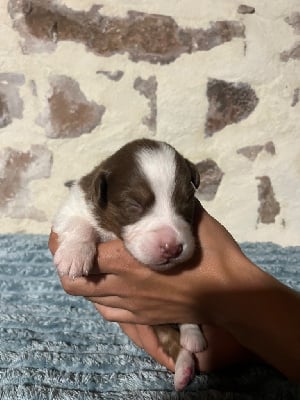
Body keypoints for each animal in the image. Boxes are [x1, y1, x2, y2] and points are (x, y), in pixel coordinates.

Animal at [53, 138, 206, 390]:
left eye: (186, 201)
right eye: (133, 204)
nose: (172, 247)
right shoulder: (76, 204)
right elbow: (80, 224)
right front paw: (74, 254)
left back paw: (192, 339)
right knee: (169, 338)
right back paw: (185, 366)